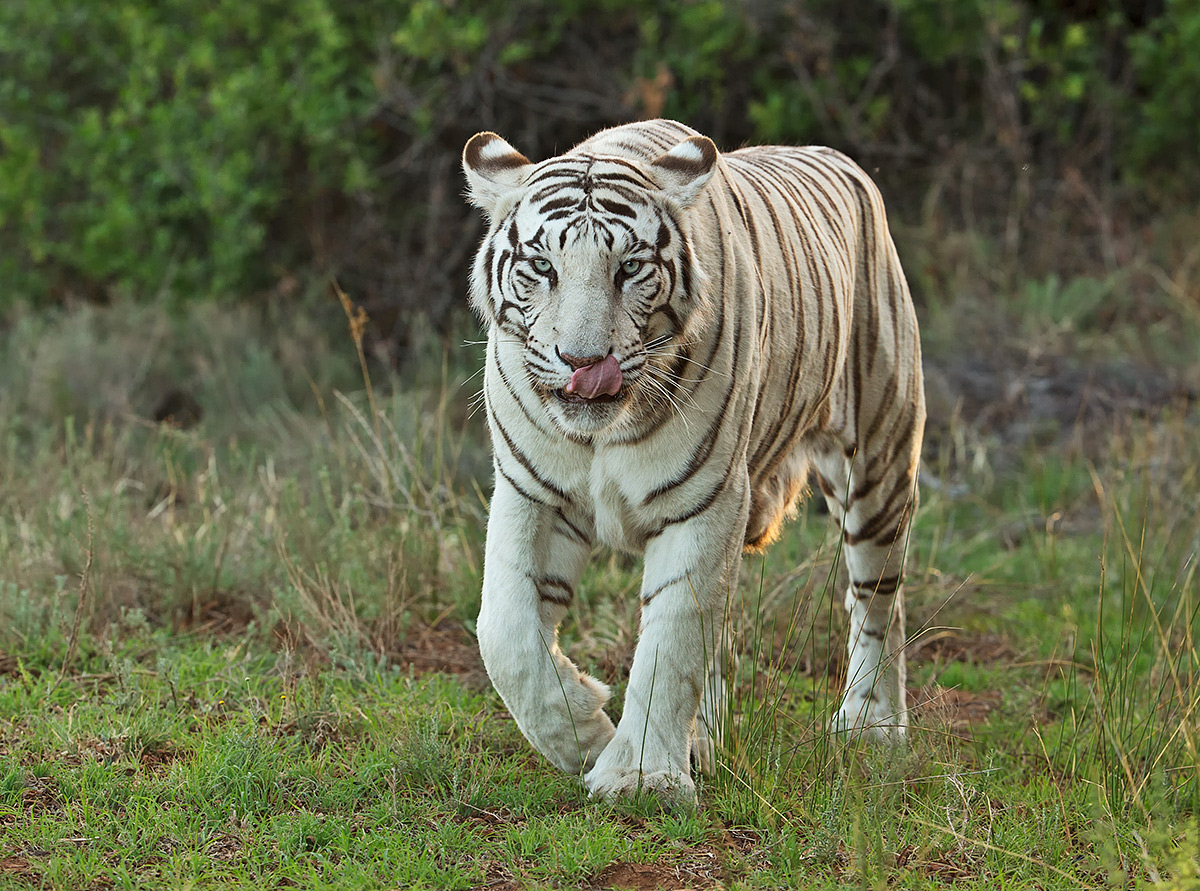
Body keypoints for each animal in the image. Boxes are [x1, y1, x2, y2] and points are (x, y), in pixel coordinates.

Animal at [461, 119, 925, 802]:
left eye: (629, 268)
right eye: (542, 266)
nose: (583, 363)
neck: (600, 434)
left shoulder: (703, 501)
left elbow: (671, 641)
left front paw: (639, 776)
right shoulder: (532, 493)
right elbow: (505, 635)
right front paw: (584, 731)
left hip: (879, 459)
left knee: (877, 602)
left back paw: (873, 725)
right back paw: (706, 740)